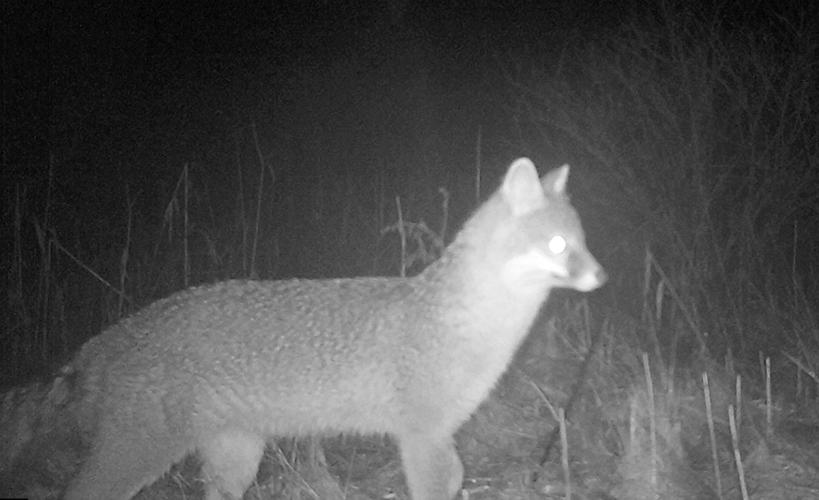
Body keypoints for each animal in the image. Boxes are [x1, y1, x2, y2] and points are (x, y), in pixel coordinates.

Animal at [0, 157, 606, 500]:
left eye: (582, 241)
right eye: (560, 246)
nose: (602, 275)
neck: (462, 323)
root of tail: (106, 338)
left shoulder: (440, 439)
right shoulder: (420, 437)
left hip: (235, 461)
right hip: (137, 458)